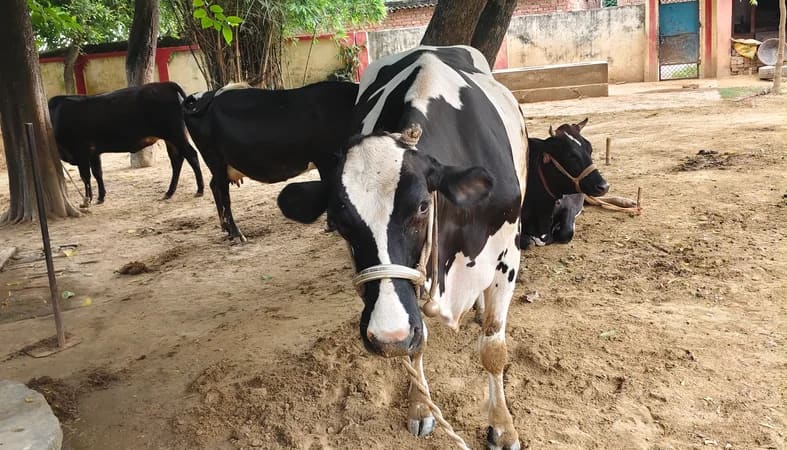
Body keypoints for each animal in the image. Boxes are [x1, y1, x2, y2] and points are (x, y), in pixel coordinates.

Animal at [48, 82, 205, 205]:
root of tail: (166, 84)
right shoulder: (94, 152)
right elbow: (98, 173)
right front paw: (100, 197)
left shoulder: (81, 151)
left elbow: (85, 176)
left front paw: (87, 200)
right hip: (170, 138)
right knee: (177, 160)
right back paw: (169, 192)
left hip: (175, 134)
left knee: (191, 155)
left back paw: (200, 189)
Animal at [181, 81, 359, 242]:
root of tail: (204, 96)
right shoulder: (327, 158)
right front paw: (333, 226)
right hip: (214, 159)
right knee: (223, 193)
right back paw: (236, 234)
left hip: (221, 166)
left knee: (214, 186)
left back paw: (226, 229)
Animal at [275, 45, 605, 449]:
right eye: (337, 222)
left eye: (422, 206)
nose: (388, 337)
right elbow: (418, 343)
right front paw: (420, 407)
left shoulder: (508, 254)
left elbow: (493, 349)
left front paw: (503, 427)